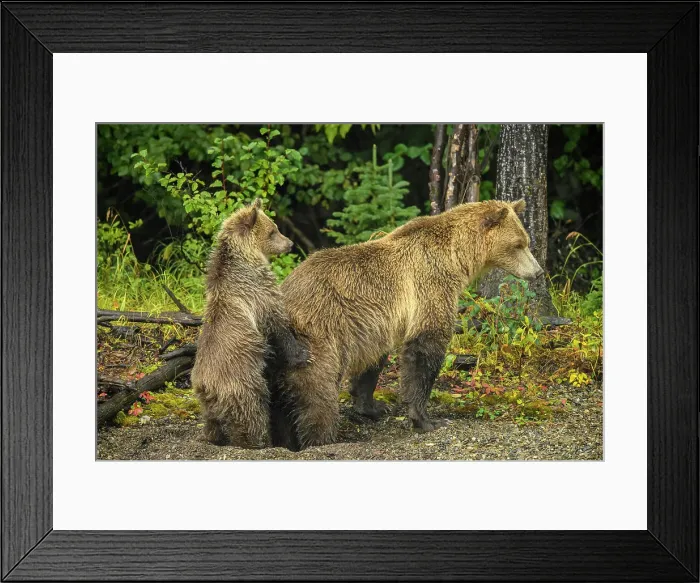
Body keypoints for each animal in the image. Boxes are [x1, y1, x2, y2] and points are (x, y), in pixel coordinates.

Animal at [191, 198, 309, 448]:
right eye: (273, 231)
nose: (290, 243)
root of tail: (206, 387)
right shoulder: (259, 294)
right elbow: (277, 323)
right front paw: (302, 354)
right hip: (243, 385)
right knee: (252, 416)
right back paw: (259, 442)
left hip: (207, 405)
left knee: (212, 424)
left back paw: (211, 437)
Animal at [278, 199, 543, 448]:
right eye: (518, 244)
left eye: (526, 240)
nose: (538, 271)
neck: (457, 258)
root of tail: (285, 290)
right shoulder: (430, 285)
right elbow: (424, 348)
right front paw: (426, 419)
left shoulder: (377, 324)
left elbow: (372, 364)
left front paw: (372, 406)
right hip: (318, 331)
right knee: (317, 388)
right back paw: (321, 436)